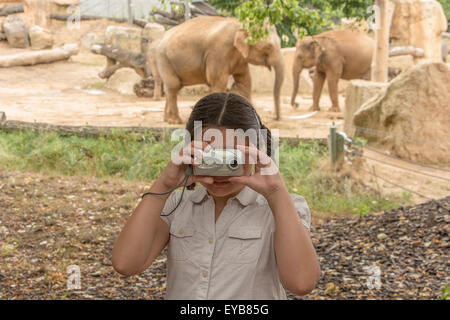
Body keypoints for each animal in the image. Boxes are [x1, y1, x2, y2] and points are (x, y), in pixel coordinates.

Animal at [146, 15, 284, 124]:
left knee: (173, 87)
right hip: (164, 59)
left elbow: (244, 81)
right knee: (173, 86)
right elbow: (218, 81)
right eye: (269, 46)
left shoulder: (240, 58)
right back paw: (175, 121)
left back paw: (167, 120)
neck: (240, 24)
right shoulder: (218, 52)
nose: (276, 118)